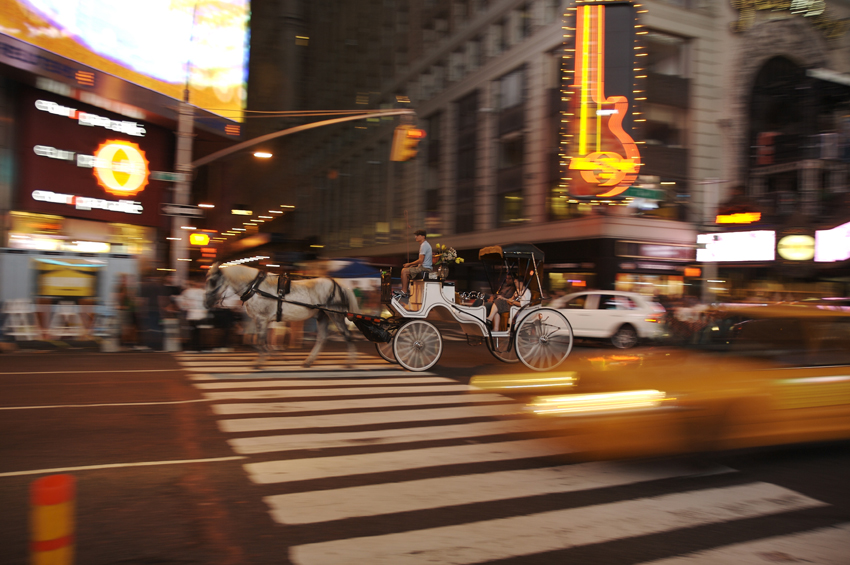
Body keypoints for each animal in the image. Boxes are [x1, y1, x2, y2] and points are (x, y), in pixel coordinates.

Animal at [205, 264, 358, 368]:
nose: (206, 303)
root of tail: (339, 285)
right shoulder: (257, 319)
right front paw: (268, 354)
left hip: (335, 315)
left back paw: (350, 362)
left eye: (212, 280)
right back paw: (308, 361)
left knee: (347, 335)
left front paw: (261, 361)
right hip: (322, 316)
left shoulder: (262, 319)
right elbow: (253, 340)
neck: (255, 288)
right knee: (321, 338)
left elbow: (259, 340)